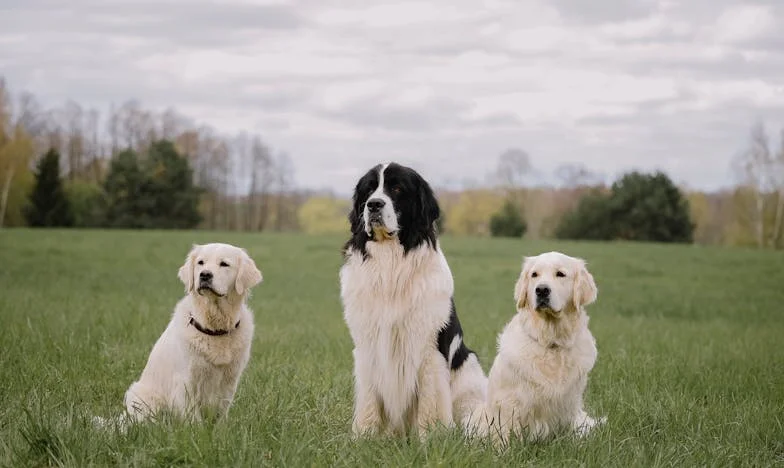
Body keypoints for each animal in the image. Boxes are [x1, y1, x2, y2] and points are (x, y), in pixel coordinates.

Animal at [117, 245, 264, 424]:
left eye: (224, 264)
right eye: (201, 262)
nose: (205, 275)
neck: (214, 327)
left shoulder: (229, 381)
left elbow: (221, 415)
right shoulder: (185, 381)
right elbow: (193, 419)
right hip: (143, 397)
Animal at [340, 163, 486, 436]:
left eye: (397, 189)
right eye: (369, 190)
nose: (373, 205)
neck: (391, 264)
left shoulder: (428, 347)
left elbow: (430, 400)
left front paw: (432, 436)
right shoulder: (367, 344)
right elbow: (369, 398)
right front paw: (364, 435)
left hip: (470, 370)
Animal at [478, 250, 608, 444]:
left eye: (560, 274)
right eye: (534, 275)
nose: (541, 290)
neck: (551, 341)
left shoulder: (569, 403)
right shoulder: (509, 401)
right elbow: (505, 432)